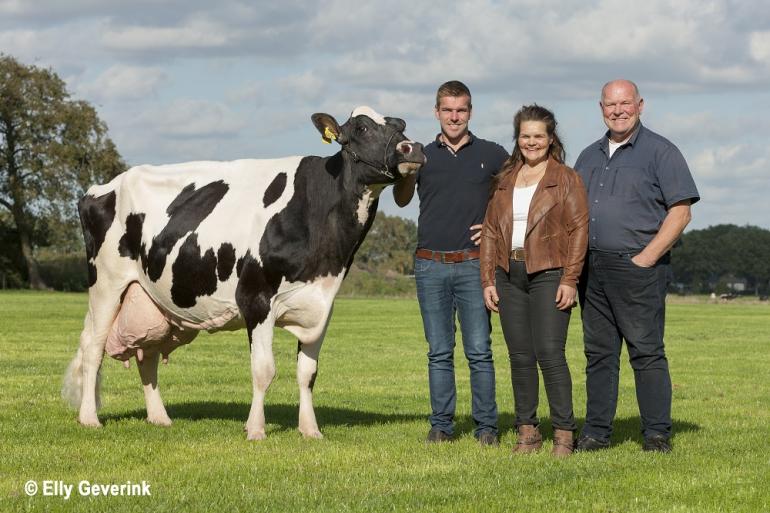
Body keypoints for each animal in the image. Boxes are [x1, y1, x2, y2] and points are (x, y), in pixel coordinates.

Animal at [62, 106, 424, 438]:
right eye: (362, 128)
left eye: (401, 124)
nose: (413, 148)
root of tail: (103, 187)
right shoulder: (255, 297)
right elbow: (264, 370)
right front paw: (256, 429)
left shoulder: (322, 303)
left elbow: (307, 373)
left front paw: (310, 430)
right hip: (106, 283)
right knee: (93, 346)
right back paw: (89, 418)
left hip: (151, 297)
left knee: (146, 354)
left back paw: (159, 417)